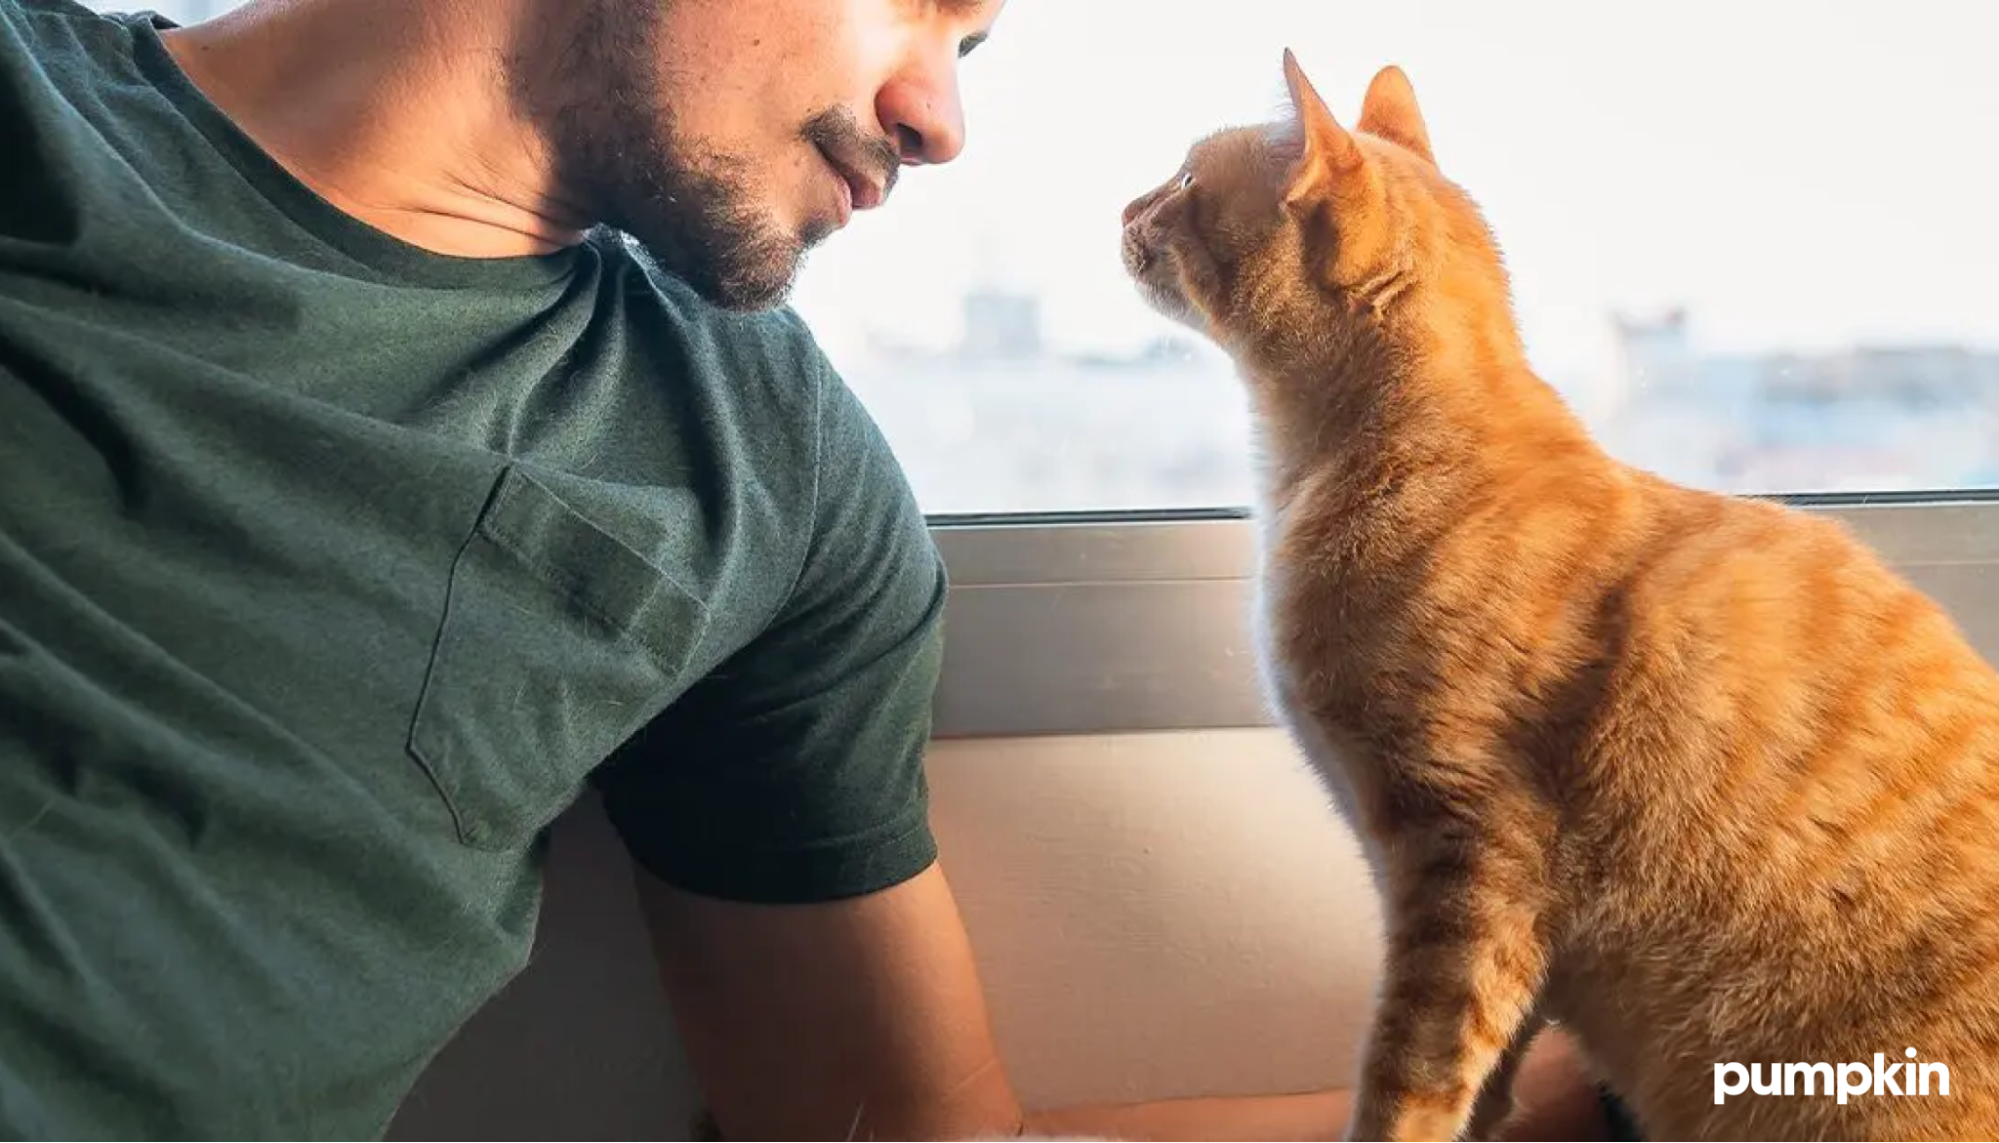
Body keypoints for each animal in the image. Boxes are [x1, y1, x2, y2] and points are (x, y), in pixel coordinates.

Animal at [1127, 46, 1999, 1143]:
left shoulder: (1469, 866)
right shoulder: (1484, 916)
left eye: (1184, 182)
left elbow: (1409, 1076)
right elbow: (1487, 1073)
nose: (1124, 207)